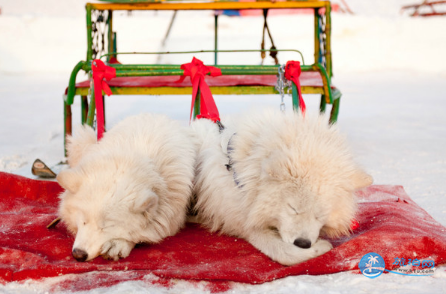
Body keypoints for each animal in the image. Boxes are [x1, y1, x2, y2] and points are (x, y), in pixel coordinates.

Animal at [56, 114, 196, 262]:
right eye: (83, 221)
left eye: (107, 226)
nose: (79, 254)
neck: (133, 158)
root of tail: (153, 114)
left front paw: (117, 244)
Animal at [192, 109, 372, 266]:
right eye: (292, 208)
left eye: (320, 215)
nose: (303, 243)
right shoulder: (243, 222)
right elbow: (284, 254)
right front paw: (320, 247)